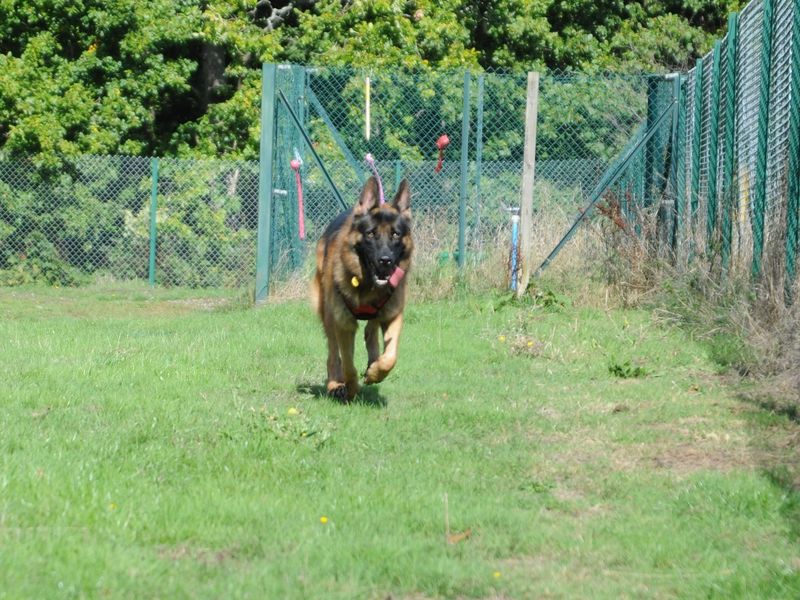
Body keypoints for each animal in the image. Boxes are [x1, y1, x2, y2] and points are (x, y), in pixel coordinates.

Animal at [312, 178, 412, 404]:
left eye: (395, 234)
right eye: (371, 234)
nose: (385, 261)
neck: (368, 286)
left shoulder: (393, 316)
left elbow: (390, 357)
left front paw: (375, 372)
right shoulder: (344, 324)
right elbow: (348, 365)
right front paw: (350, 389)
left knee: (370, 332)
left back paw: (372, 363)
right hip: (328, 314)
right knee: (333, 354)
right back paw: (335, 384)